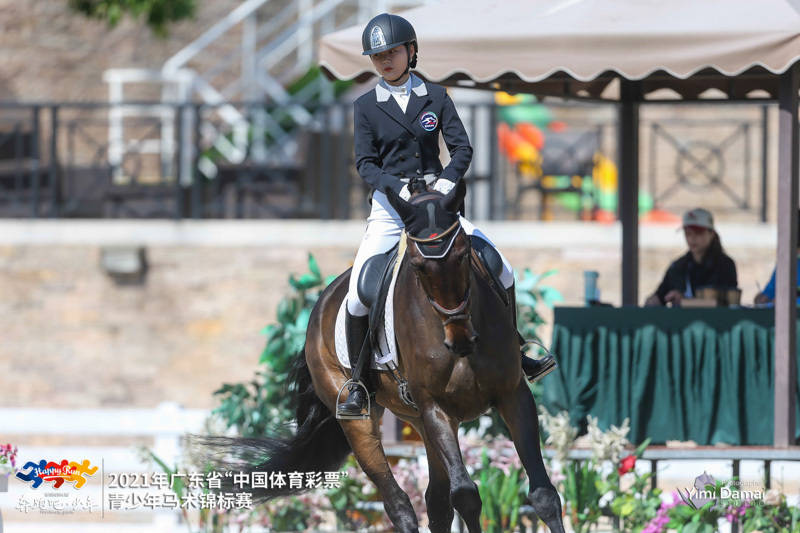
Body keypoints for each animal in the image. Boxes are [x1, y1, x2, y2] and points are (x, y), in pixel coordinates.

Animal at [198, 181, 564, 528]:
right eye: (418, 266)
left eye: (463, 255)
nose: (461, 340)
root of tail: (320, 304)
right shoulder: (436, 407)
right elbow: (466, 494)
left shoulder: (512, 394)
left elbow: (543, 493)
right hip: (364, 422)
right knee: (398, 503)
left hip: (420, 421)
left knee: (436, 502)